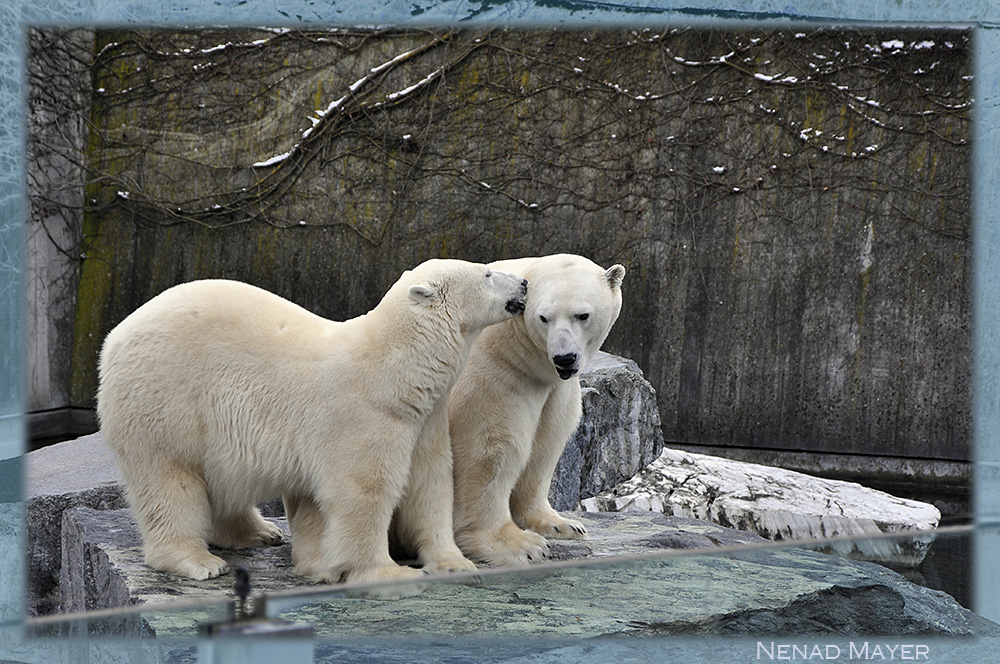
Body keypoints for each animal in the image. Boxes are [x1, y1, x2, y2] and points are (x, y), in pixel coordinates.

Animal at [97, 256, 528, 584]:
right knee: (170, 480)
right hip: (165, 402)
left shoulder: (425, 420)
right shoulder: (363, 417)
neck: (394, 372)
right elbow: (363, 491)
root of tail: (113, 339)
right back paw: (198, 560)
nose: (524, 283)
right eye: (488, 273)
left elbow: (430, 484)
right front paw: (385, 571)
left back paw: (259, 532)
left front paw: (453, 563)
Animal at [448, 253, 620, 564]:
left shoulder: (553, 389)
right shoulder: (497, 374)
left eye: (582, 315)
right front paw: (519, 545)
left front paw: (562, 525)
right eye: (544, 317)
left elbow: (546, 443)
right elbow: (490, 449)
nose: (565, 358)